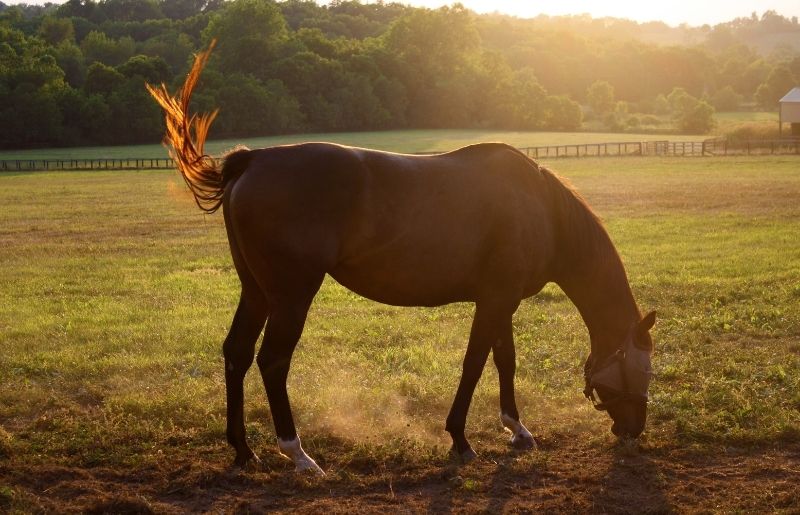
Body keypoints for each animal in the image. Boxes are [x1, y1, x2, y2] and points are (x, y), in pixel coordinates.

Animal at [147, 43, 656, 476]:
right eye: (644, 369)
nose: (633, 431)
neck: (541, 208)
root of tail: (252, 160)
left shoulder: (501, 301)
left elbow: (504, 361)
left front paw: (518, 430)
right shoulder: (494, 302)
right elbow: (474, 363)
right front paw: (460, 439)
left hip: (256, 291)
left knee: (236, 352)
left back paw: (242, 450)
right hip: (291, 295)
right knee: (272, 361)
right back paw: (298, 454)